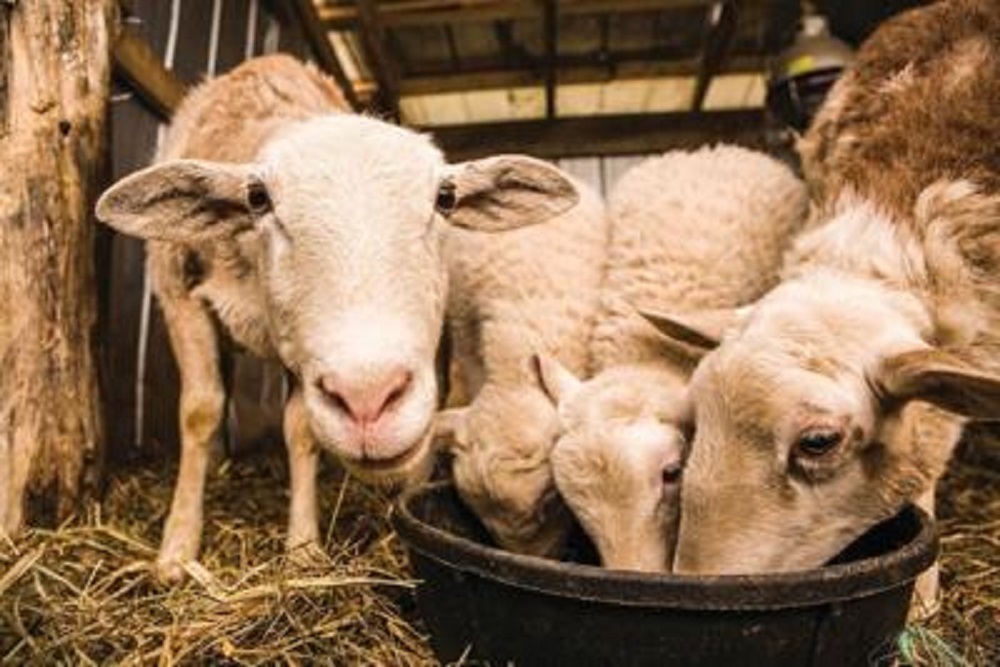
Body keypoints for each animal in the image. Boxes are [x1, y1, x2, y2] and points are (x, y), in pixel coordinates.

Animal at [95, 54, 584, 581]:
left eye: (445, 198)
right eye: (257, 199)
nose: (368, 399)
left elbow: (300, 429)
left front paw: (303, 549)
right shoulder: (179, 296)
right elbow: (199, 411)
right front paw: (178, 547)